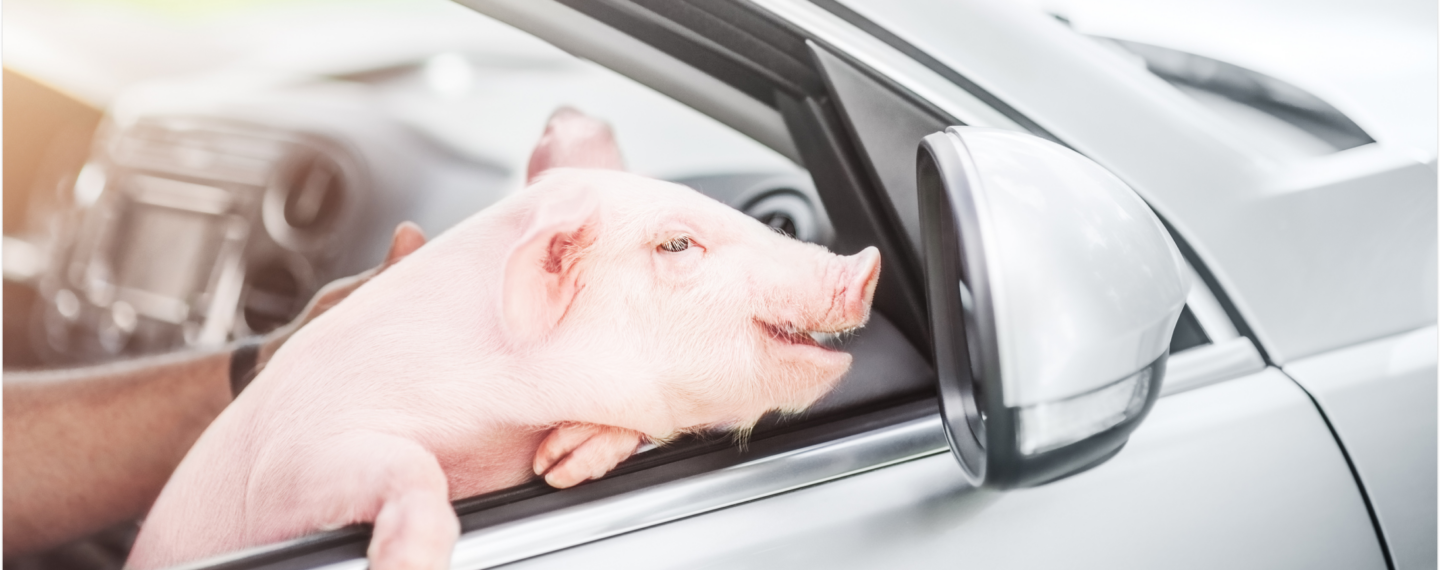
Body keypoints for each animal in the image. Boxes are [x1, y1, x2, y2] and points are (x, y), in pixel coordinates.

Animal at [126, 111, 881, 570]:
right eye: (676, 243)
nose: (867, 262)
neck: (497, 410)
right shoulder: (288, 464)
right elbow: (410, 465)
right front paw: (408, 557)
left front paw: (563, 461)